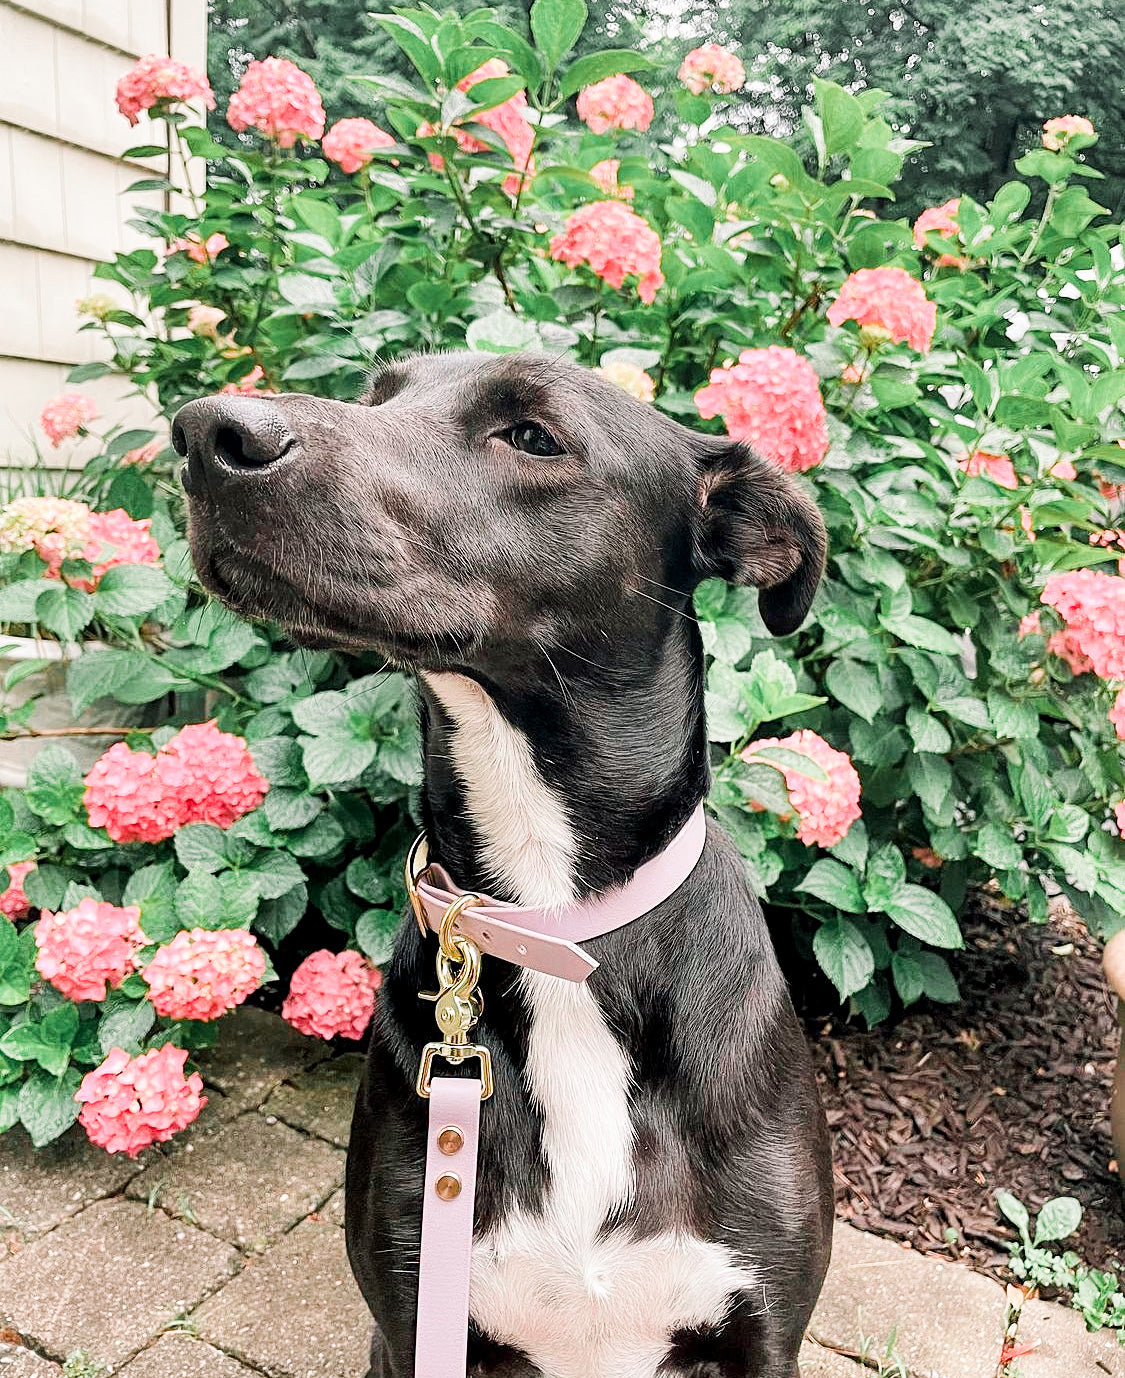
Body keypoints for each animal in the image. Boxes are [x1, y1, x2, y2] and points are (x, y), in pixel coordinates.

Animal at [177, 352, 832, 1378]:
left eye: (532, 435)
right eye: (377, 397)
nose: (208, 433)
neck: (552, 918)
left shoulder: (762, 1334)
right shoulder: (414, 1317)